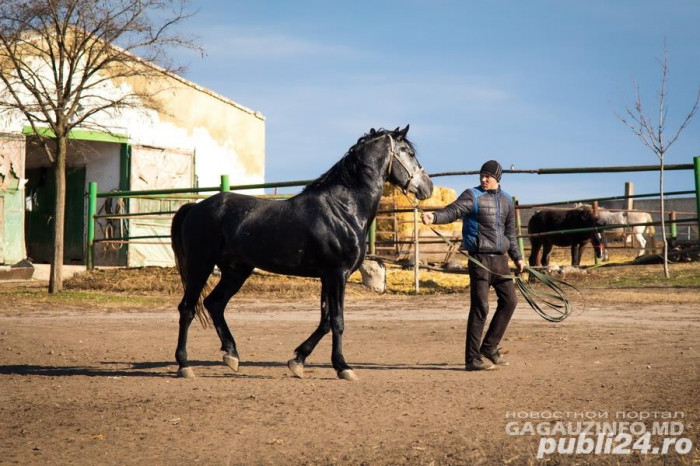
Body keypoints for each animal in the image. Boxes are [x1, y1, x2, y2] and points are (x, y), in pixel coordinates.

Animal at [170, 125, 432, 380]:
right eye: (409, 152)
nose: (427, 187)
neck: (342, 209)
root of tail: (195, 208)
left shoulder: (328, 276)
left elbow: (325, 321)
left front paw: (298, 360)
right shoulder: (337, 274)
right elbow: (337, 321)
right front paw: (343, 367)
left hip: (236, 271)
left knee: (214, 303)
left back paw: (231, 355)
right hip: (201, 265)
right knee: (188, 308)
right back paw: (185, 364)